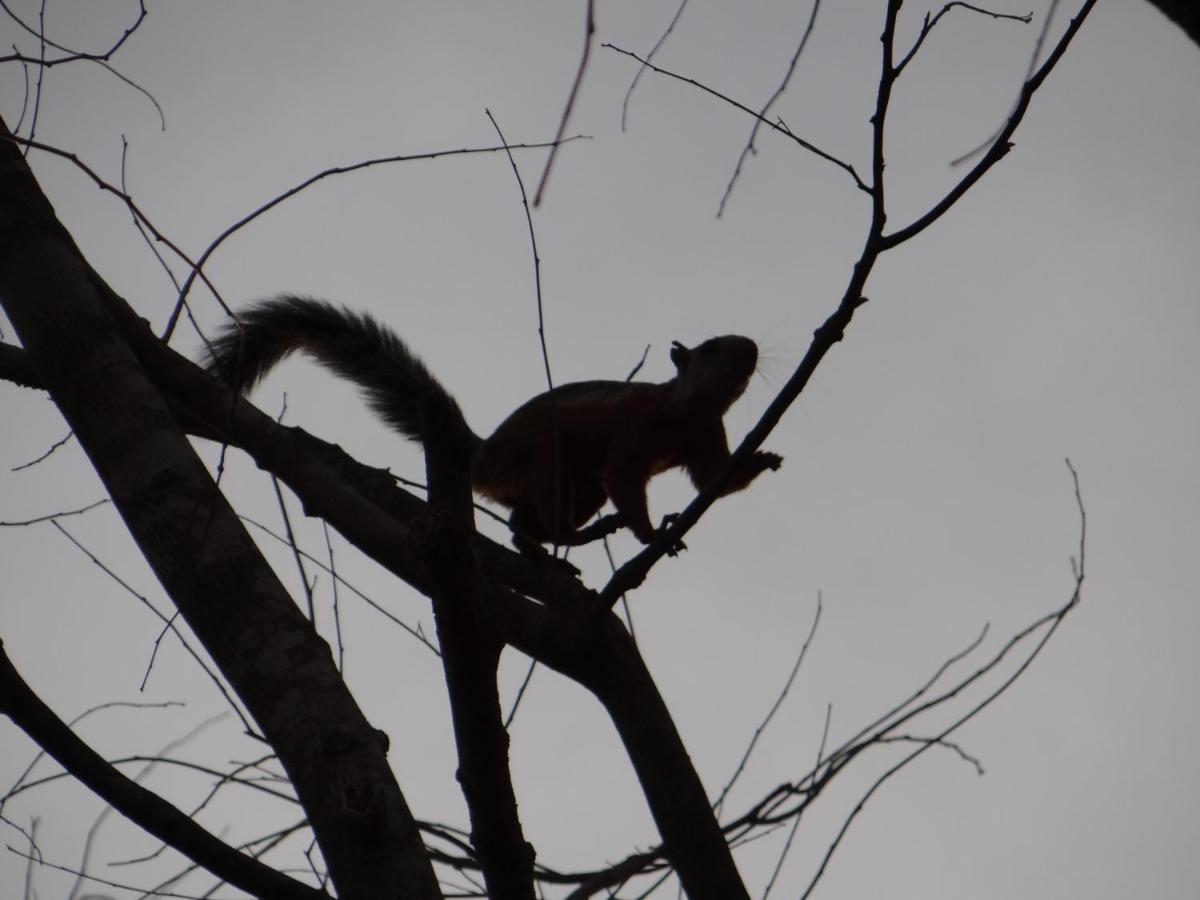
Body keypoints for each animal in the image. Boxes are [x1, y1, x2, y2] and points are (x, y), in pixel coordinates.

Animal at [204, 296, 787, 554]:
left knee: (520, 524)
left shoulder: (705, 440)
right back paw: (575, 537)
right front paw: (651, 534)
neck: (684, 413)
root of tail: (481, 454)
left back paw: (551, 544)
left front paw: (761, 459)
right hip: (547, 459)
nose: (751, 348)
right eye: (711, 348)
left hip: (576, 486)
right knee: (541, 511)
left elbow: (716, 480)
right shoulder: (632, 425)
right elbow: (627, 478)